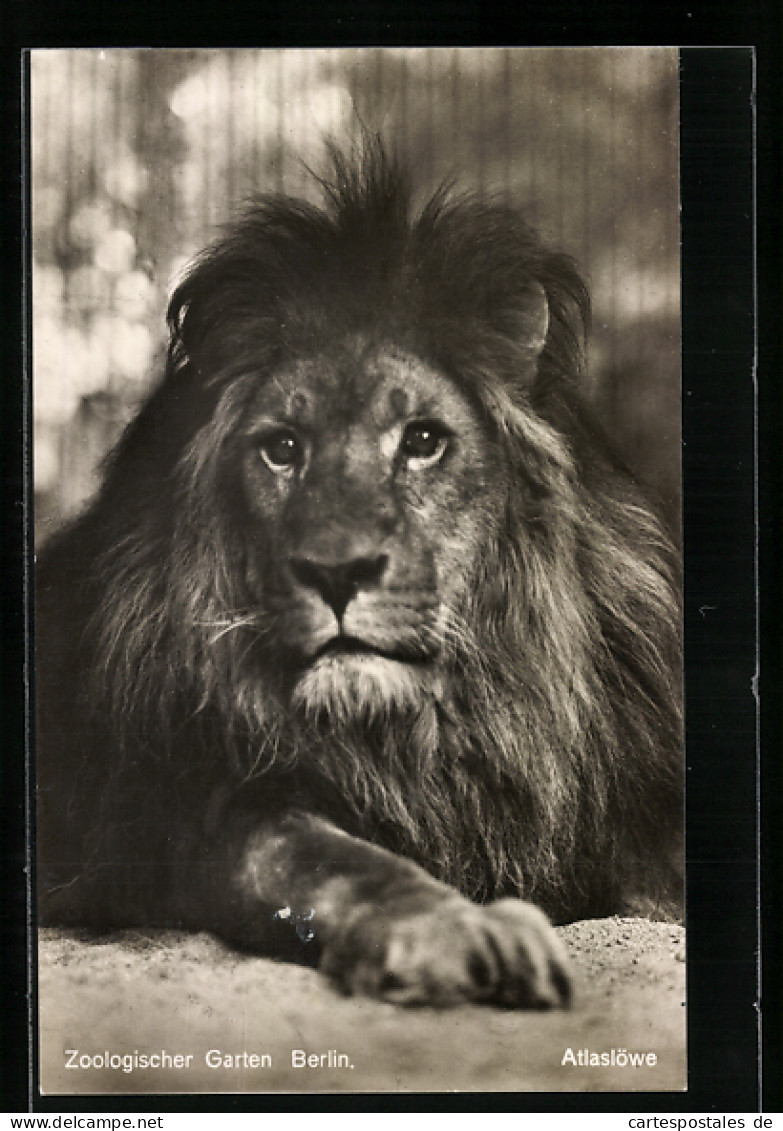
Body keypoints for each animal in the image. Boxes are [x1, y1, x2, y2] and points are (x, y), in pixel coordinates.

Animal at [36, 143, 683, 1008]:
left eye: (422, 440)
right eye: (282, 448)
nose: (336, 571)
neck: (425, 732)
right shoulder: (201, 805)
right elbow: (332, 860)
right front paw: (457, 932)